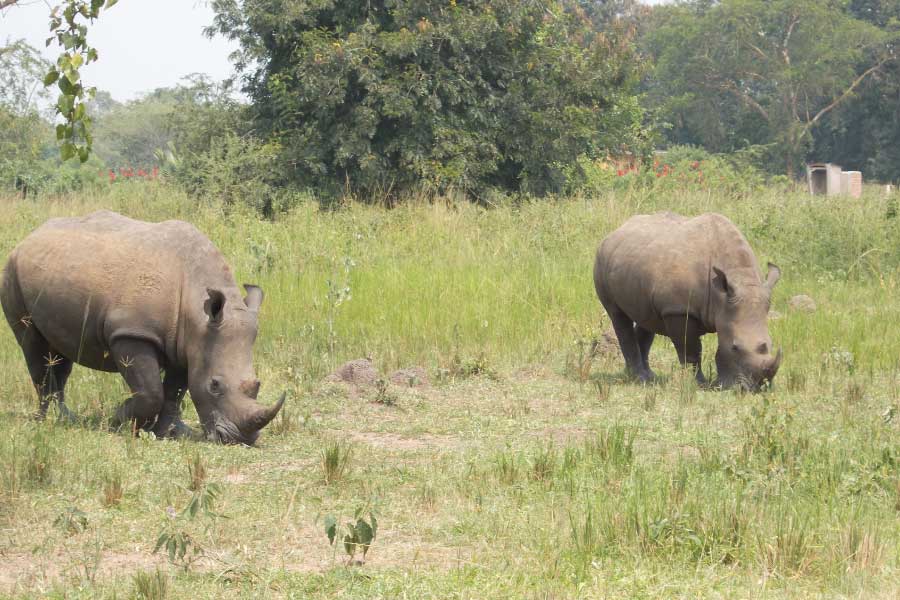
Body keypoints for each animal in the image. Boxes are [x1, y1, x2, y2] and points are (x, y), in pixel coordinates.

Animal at [0, 210, 284, 444]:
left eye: (257, 384)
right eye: (214, 385)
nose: (239, 439)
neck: (196, 309)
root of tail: (29, 237)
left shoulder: (187, 344)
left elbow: (175, 392)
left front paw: (169, 432)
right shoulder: (132, 333)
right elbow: (151, 392)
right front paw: (119, 420)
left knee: (59, 354)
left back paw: (63, 418)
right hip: (11, 271)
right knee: (33, 346)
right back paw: (46, 421)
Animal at [593, 212, 782, 390]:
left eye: (771, 345)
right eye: (735, 347)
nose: (756, 388)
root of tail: (614, 232)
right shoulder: (679, 309)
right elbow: (691, 350)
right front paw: (699, 384)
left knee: (646, 318)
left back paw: (649, 376)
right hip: (601, 260)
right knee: (618, 316)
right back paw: (639, 377)